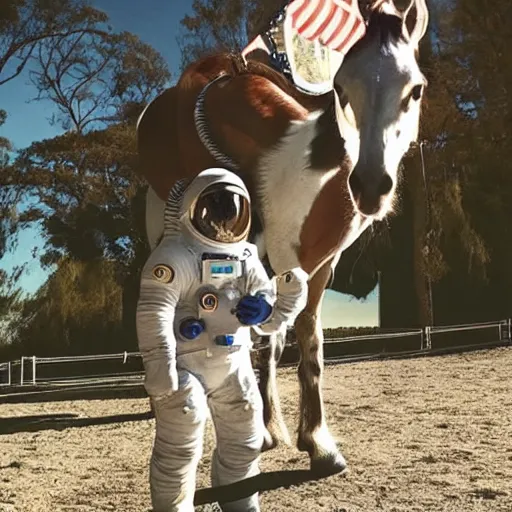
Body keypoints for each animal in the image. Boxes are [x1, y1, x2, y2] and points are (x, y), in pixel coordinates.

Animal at [136, 0, 428, 476]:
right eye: (341, 87)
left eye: (414, 89)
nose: (370, 186)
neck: (309, 178)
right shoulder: (285, 261)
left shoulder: (316, 269)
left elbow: (299, 342)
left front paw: (311, 442)